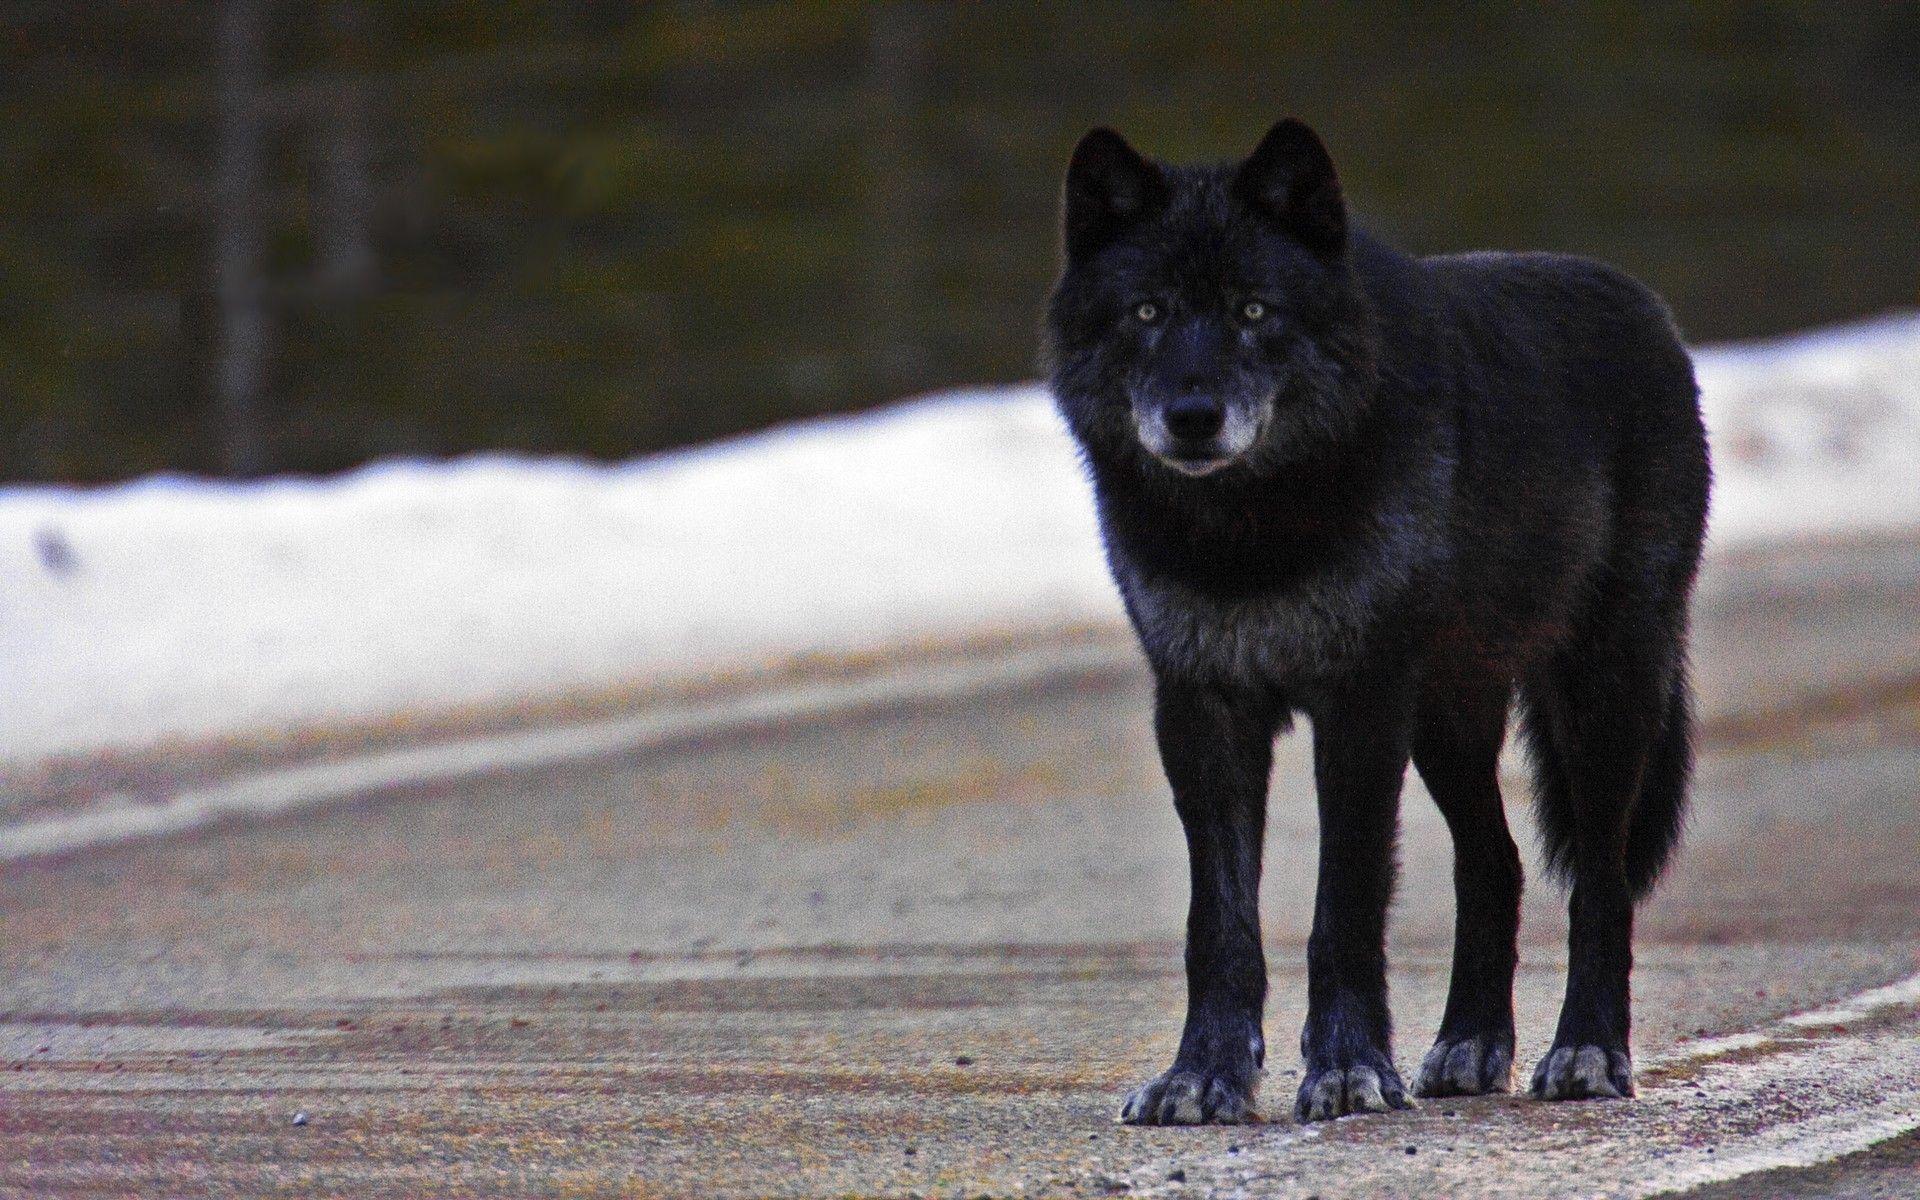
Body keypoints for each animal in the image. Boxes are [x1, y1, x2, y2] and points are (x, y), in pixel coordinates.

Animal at [1042, 119, 1711, 1125]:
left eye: (1254, 311)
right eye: (1148, 312)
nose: (1192, 416)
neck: (1249, 534)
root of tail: (1651, 311)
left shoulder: (1359, 705)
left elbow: (1345, 906)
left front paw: (1349, 1069)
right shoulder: (1203, 711)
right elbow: (1218, 927)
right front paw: (1203, 1074)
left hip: (1601, 696)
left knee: (1600, 881)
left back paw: (1587, 1051)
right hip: (1447, 720)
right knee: (1496, 865)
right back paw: (1470, 1045)